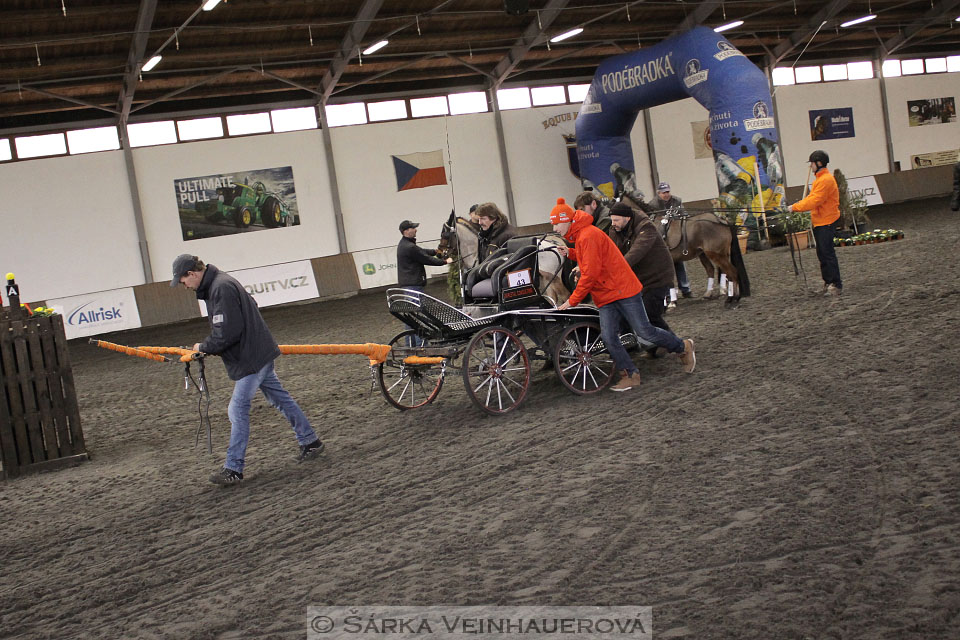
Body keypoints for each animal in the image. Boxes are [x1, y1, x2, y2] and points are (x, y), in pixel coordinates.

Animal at [438, 210, 572, 308]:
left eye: (444, 234)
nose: (439, 253)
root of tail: (556, 242)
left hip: (553, 278)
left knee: (565, 296)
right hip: (545, 280)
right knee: (553, 298)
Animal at [620, 195, 752, 304]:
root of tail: (721, 220)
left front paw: (671, 303)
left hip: (716, 254)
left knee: (731, 272)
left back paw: (732, 298)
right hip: (709, 254)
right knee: (715, 270)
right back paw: (714, 294)